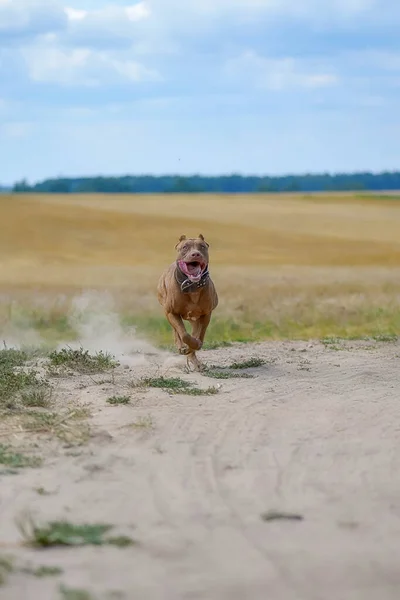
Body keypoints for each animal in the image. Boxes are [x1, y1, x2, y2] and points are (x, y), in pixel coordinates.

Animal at [157, 234, 219, 370]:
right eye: (185, 247)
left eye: (202, 246)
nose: (195, 254)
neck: (192, 286)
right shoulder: (171, 312)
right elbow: (184, 334)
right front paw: (185, 346)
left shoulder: (206, 314)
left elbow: (199, 335)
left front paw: (195, 345)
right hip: (168, 311)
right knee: (177, 331)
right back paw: (182, 346)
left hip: (194, 318)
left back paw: (195, 359)